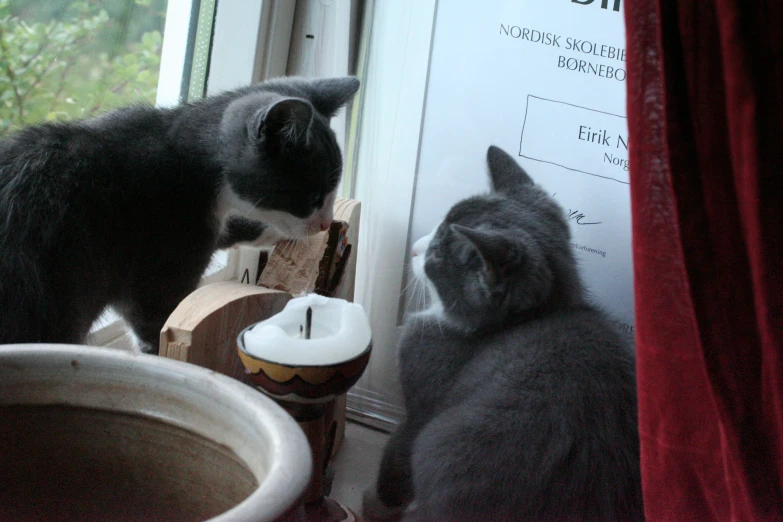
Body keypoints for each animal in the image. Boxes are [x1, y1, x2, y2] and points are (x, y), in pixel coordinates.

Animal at [0, 76, 362, 354]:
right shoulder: (168, 249)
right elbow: (155, 317)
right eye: (312, 196)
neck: (184, 152)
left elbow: (229, 230)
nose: (324, 222)